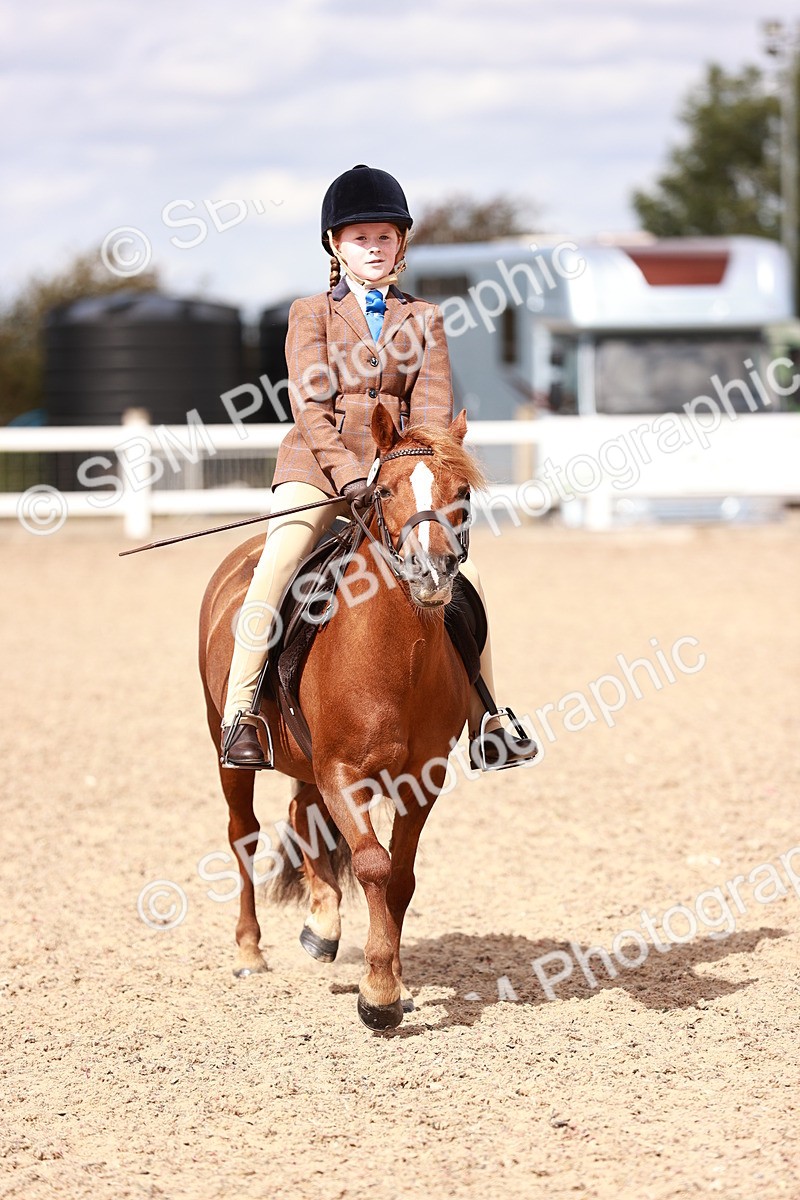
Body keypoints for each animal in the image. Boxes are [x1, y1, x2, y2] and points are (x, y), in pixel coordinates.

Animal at [198, 402, 486, 1030]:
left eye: (462, 493)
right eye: (383, 491)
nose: (432, 573)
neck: (398, 657)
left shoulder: (420, 781)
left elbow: (400, 876)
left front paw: (394, 981)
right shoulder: (340, 772)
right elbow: (374, 864)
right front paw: (377, 995)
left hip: (306, 762)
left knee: (300, 817)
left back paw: (322, 925)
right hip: (229, 752)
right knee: (243, 835)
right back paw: (250, 951)